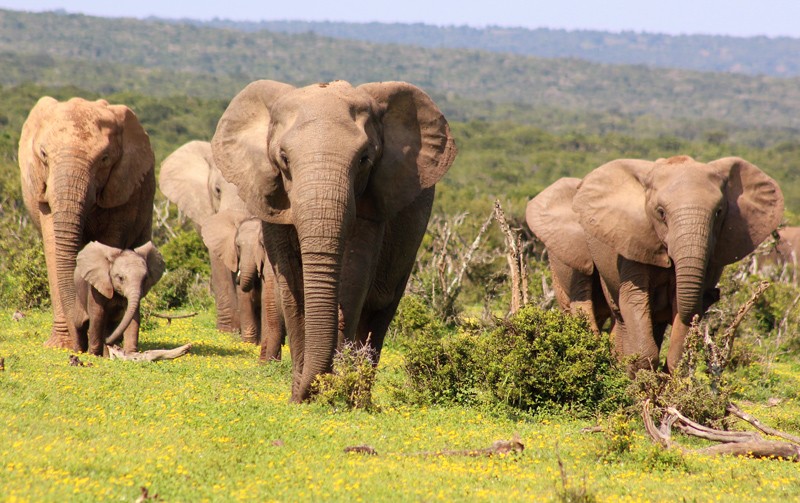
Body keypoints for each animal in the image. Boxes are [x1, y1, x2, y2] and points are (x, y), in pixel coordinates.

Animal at [19, 97, 156, 351]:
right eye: (43, 154)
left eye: (104, 159)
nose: (83, 321)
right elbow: (54, 248)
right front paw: (62, 346)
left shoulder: (121, 187)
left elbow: (110, 244)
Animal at [212, 79, 457, 401]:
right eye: (284, 159)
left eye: (364, 159)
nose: (313, 387)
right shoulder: (273, 200)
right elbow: (291, 283)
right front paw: (301, 399)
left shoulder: (371, 202)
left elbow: (353, 277)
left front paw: (330, 393)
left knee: (380, 311)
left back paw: (359, 401)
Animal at [572, 155, 783, 372]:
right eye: (661, 213)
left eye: (718, 212)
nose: (714, 294)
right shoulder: (633, 240)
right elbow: (635, 298)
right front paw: (642, 376)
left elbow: (682, 306)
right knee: (622, 316)